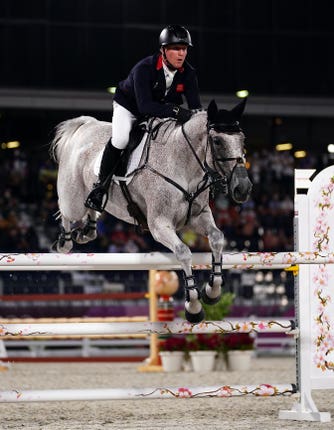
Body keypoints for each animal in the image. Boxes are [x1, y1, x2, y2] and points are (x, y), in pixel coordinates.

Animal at [51, 100, 252, 322]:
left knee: (91, 208)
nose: (243, 189)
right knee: (66, 211)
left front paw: (212, 291)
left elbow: (217, 238)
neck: (183, 165)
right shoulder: (159, 225)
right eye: (217, 141)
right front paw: (193, 307)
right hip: (73, 199)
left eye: (242, 139)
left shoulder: (197, 217)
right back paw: (65, 242)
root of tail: (85, 125)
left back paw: (88, 229)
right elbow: (183, 252)